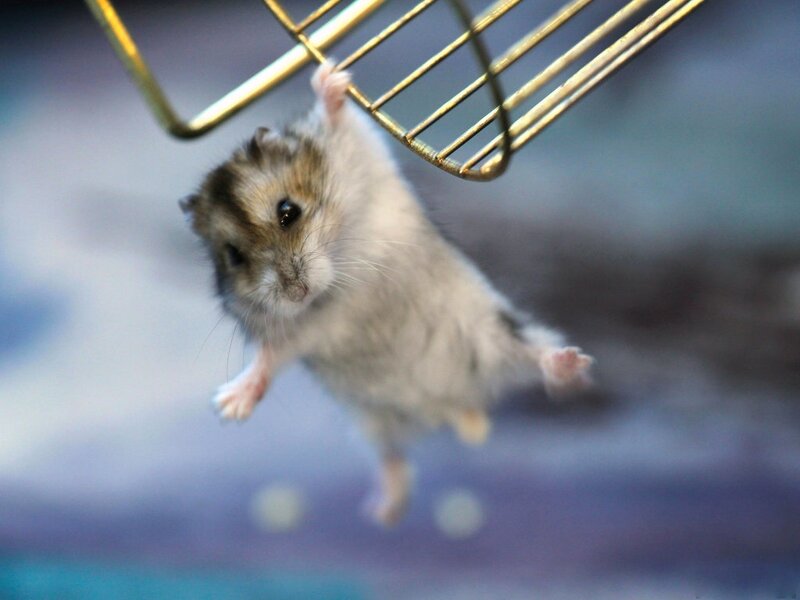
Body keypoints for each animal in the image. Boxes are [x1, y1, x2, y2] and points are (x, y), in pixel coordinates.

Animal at [180, 61, 594, 525]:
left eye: (288, 211)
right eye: (233, 257)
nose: (296, 292)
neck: (337, 285)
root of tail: (453, 406)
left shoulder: (357, 155)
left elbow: (341, 123)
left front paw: (330, 78)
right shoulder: (292, 334)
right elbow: (267, 360)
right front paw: (228, 408)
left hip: (493, 331)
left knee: (535, 355)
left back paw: (572, 364)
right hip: (372, 420)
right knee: (392, 457)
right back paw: (383, 512)